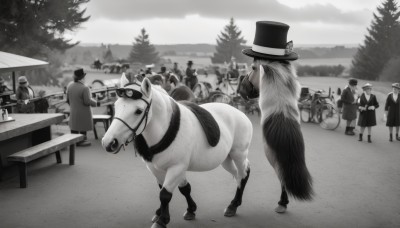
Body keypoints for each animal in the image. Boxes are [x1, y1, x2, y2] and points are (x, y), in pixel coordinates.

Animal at [101, 75, 252, 228]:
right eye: (116, 106)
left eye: (138, 111)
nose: (109, 142)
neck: (167, 129)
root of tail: (239, 113)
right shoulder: (156, 168)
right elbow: (181, 188)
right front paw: (187, 210)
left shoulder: (177, 167)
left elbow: (165, 194)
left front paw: (162, 220)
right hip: (226, 159)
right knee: (237, 174)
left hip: (238, 153)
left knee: (243, 173)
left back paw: (233, 205)